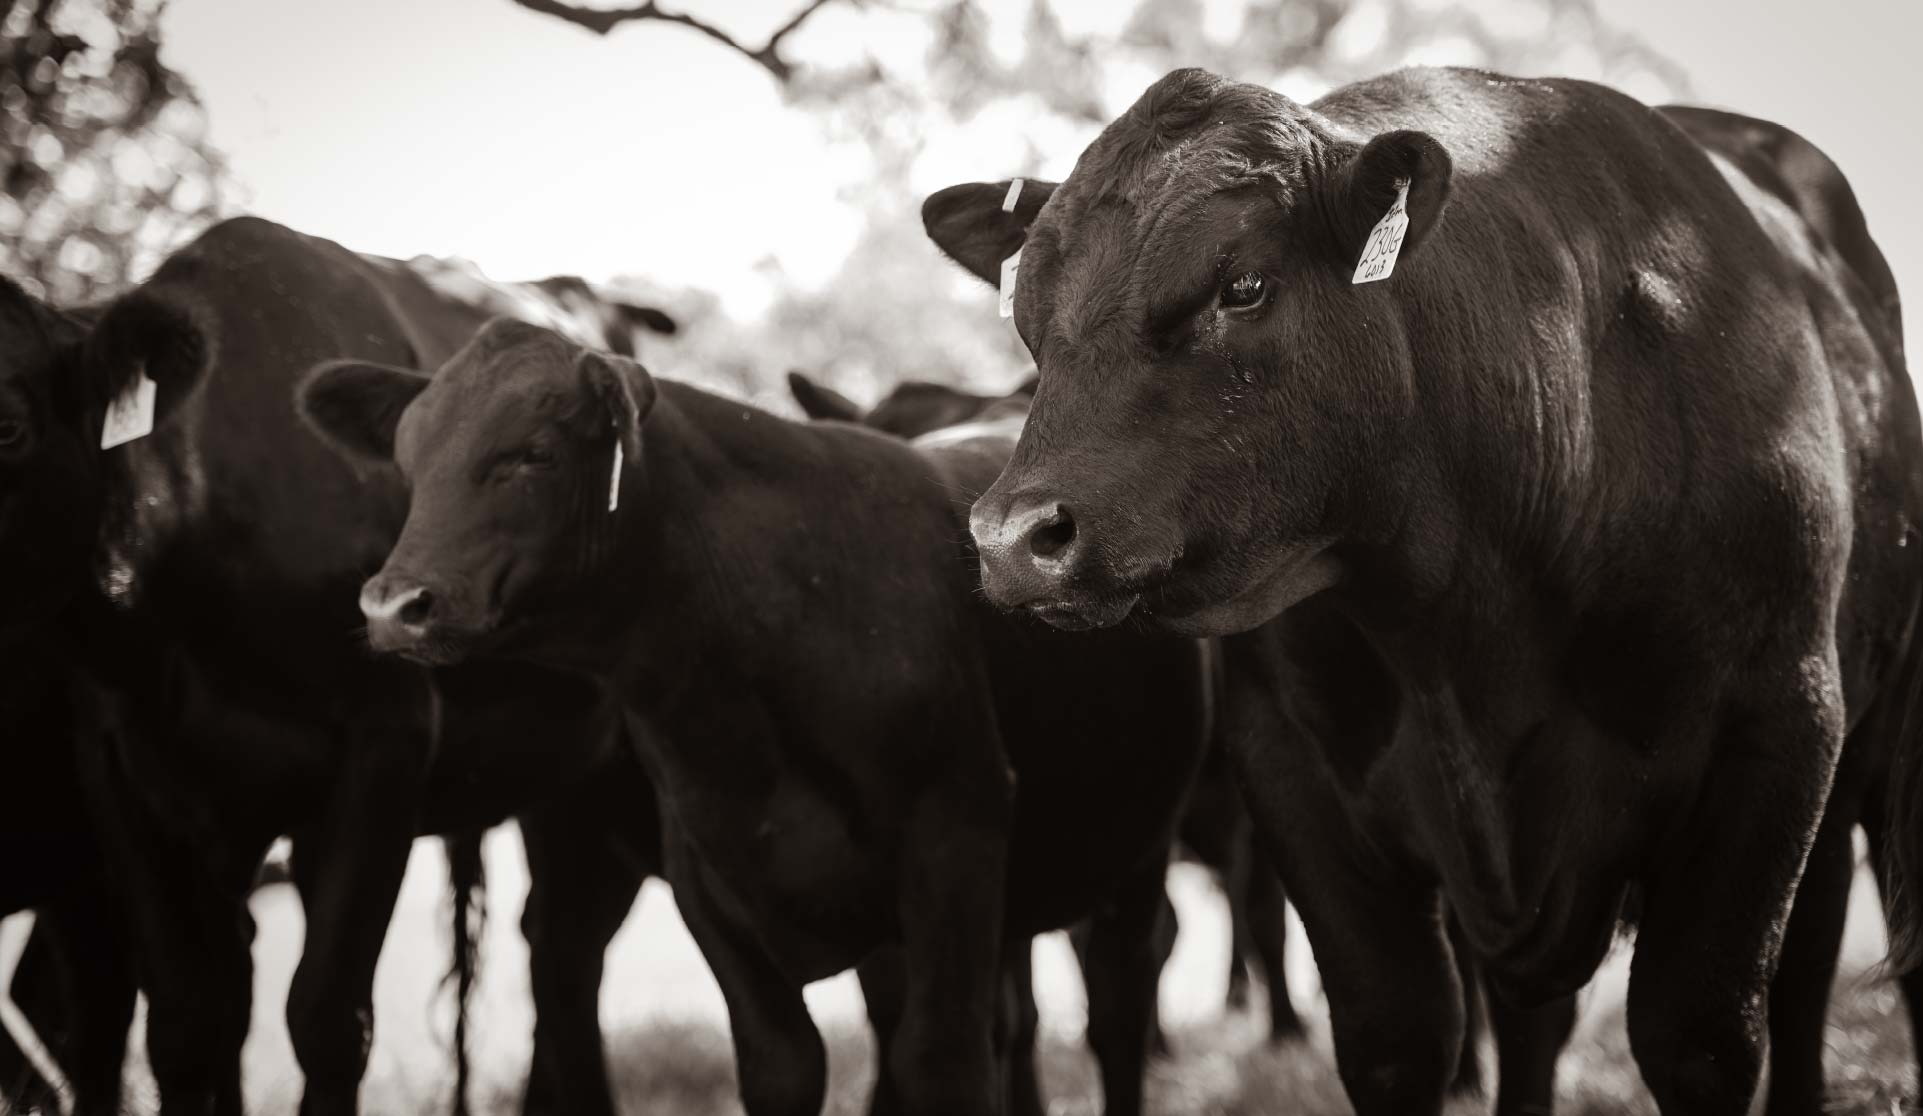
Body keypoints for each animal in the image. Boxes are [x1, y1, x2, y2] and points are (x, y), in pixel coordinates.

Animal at [0, 218, 676, 1116]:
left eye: (7, 428)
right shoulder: (124, 766)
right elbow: (188, 1017)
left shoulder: (384, 742)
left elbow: (324, 1015)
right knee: (559, 949)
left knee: (565, 951)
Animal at [299, 315, 1207, 1116]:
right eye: (409, 461)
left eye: (533, 454)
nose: (393, 605)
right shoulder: (711, 880)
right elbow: (784, 1068)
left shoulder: (956, 839)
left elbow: (940, 1064)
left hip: (1135, 854)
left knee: (1116, 1011)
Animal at [923, 69, 1915, 1116]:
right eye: (1030, 316)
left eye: (1243, 285)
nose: (1012, 537)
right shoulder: (1293, 773)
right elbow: (1396, 1036)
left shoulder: (1773, 732)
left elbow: (1702, 1037)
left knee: (1808, 968)